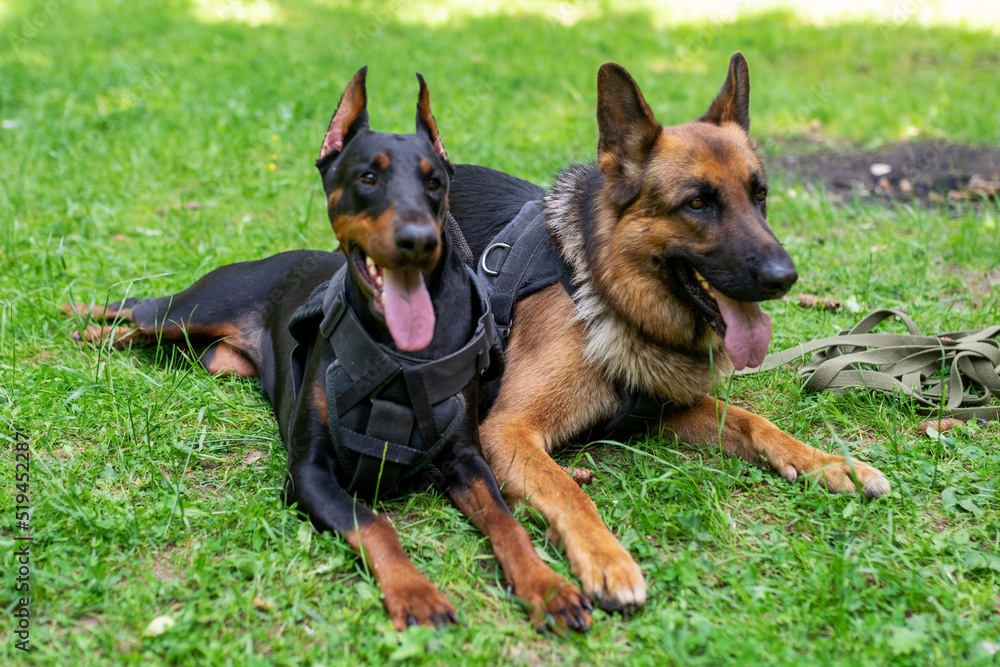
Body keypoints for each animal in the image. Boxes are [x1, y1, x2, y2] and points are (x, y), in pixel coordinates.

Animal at [450, 53, 888, 616]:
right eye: (697, 203)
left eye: (760, 196)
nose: (785, 277)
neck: (607, 294)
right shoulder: (506, 431)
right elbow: (567, 490)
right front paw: (607, 558)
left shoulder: (663, 412)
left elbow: (752, 421)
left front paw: (828, 463)